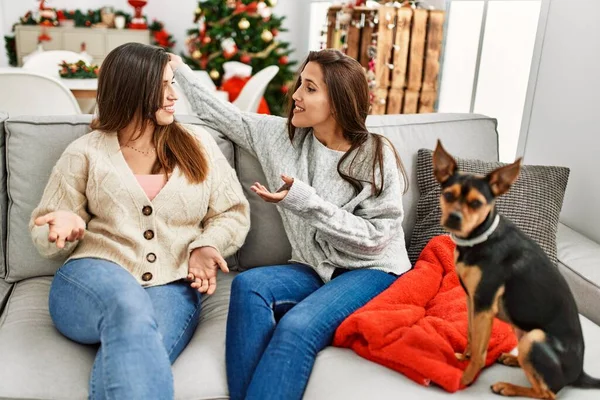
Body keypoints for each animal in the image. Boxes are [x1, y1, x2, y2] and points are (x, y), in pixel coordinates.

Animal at [434, 140, 596, 396]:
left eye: (476, 203)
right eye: (448, 195)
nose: (454, 218)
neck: (481, 239)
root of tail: (579, 374)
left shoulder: (484, 305)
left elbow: (479, 351)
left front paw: (465, 378)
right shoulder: (472, 299)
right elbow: (471, 334)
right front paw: (464, 357)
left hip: (535, 339)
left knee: (547, 393)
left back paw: (507, 387)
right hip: (523, 333)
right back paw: (513, 359)